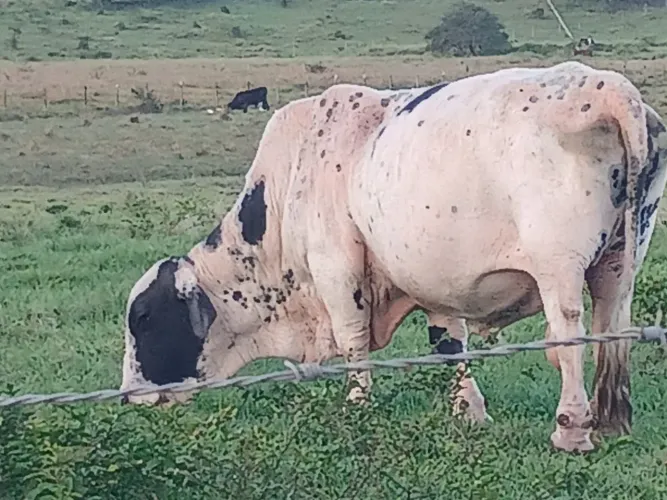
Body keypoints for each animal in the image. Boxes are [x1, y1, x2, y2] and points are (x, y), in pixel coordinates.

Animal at [119, 61, 667, 453]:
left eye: (143, 318)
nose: (126, 396)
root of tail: (607, 86)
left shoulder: (336, 267)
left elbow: (354, 343)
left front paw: (357, 407)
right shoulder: (438, 282)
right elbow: (449, 344)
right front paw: (469, 412)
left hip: (559, 269)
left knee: (569, 337)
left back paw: (572, 429)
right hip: (621, 263)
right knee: (614, 330)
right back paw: (613, 422)